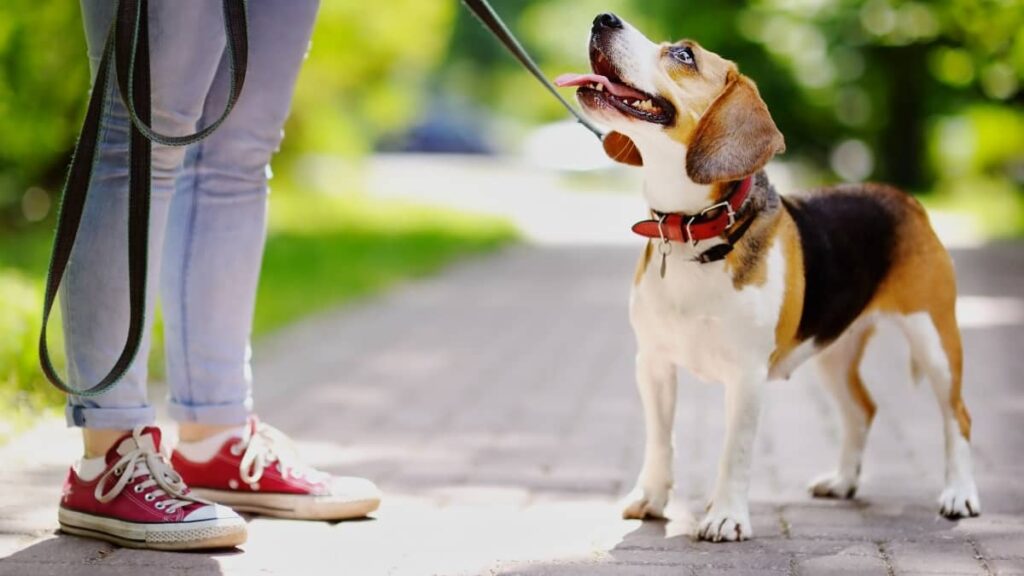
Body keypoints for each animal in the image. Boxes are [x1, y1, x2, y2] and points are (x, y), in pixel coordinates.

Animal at [561, 14, 983, 541]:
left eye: (683, 55)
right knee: (862, 410)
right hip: (833, 349)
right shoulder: (653, 363)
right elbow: (660, 440)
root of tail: (903, 198)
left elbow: (734, 451)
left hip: (935, 339)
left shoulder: (746, 375)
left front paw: (725, 516)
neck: (694, 231)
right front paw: (651, 498)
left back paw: (959, 494)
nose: (603, 19)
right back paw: (843, 481)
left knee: (957, 416)